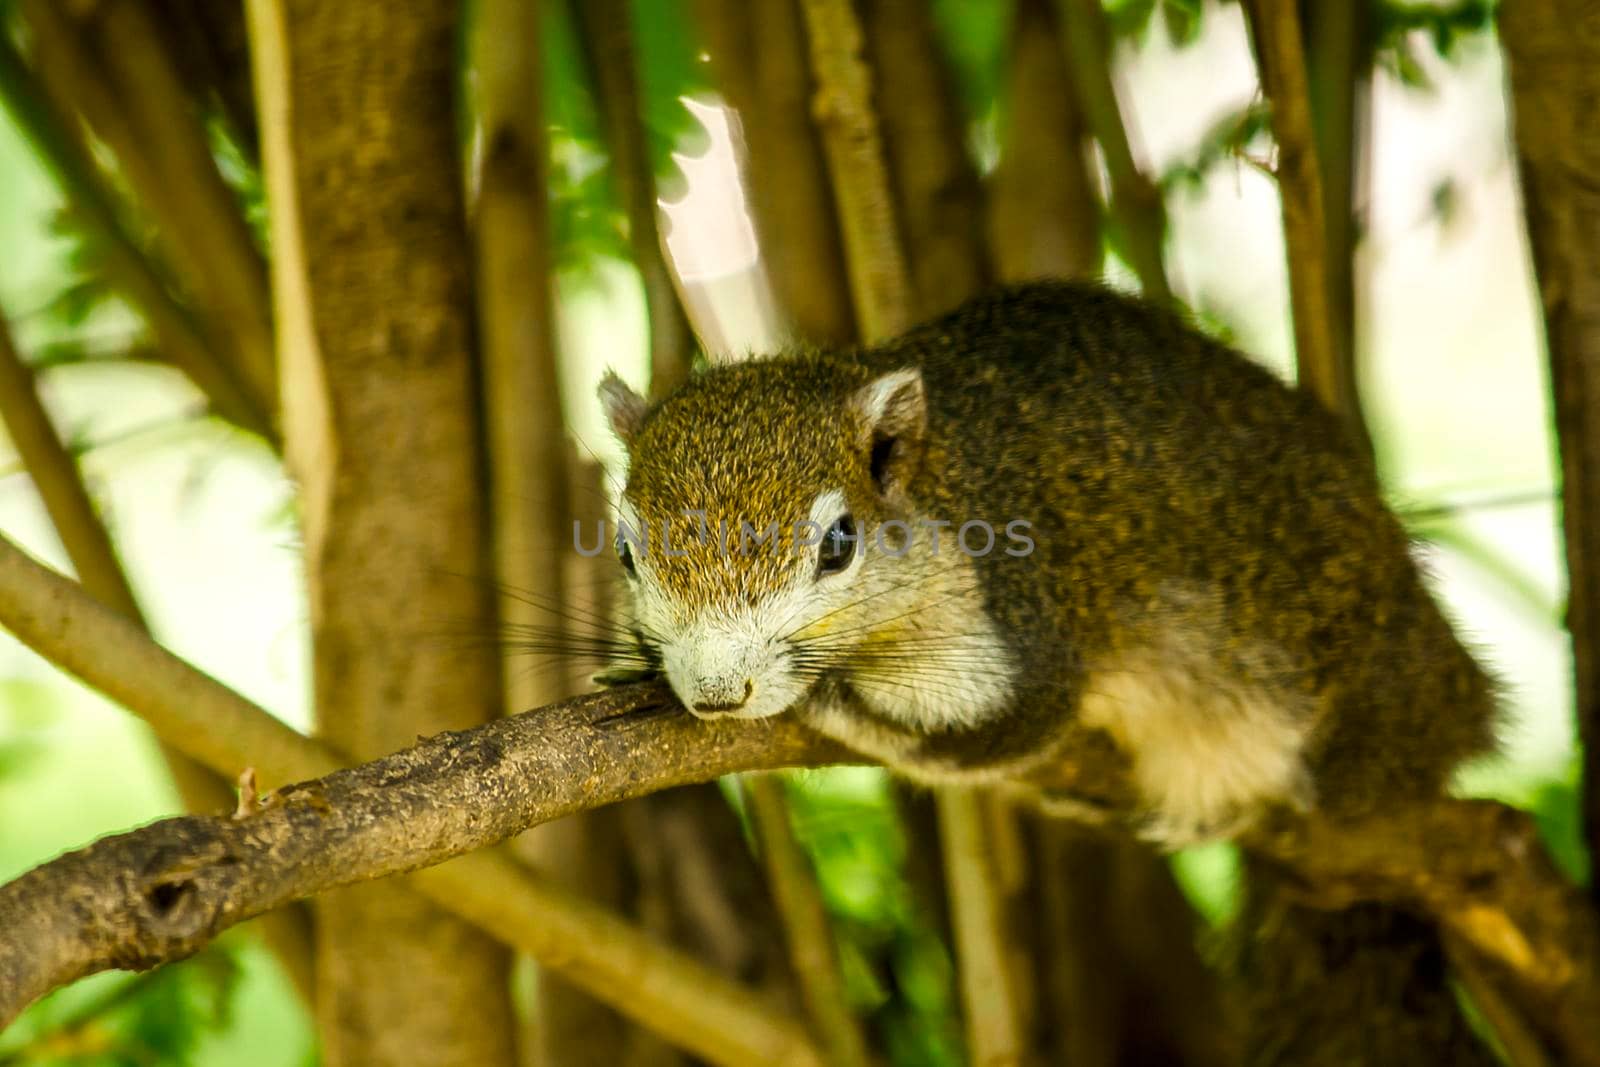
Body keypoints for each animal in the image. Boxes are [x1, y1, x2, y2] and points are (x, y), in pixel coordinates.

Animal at [598, 279, 1497, 844]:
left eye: (839, 545)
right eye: (625, 549)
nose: (717, 694)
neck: (945, 482)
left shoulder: (1020, 625)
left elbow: (984, 732)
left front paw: (825, 697)